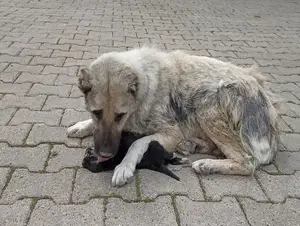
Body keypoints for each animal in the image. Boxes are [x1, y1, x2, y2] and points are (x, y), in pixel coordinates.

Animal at [67, 46, 280, 186]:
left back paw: (207, 164)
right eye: (96, 113)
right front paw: (82, 125)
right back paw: (192, 145)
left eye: (120, 115)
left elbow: (137, 143)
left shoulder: (171, 132)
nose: (105, 155)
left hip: (207, 104)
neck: (144, 90)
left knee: (247, 161)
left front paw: (124, 166)